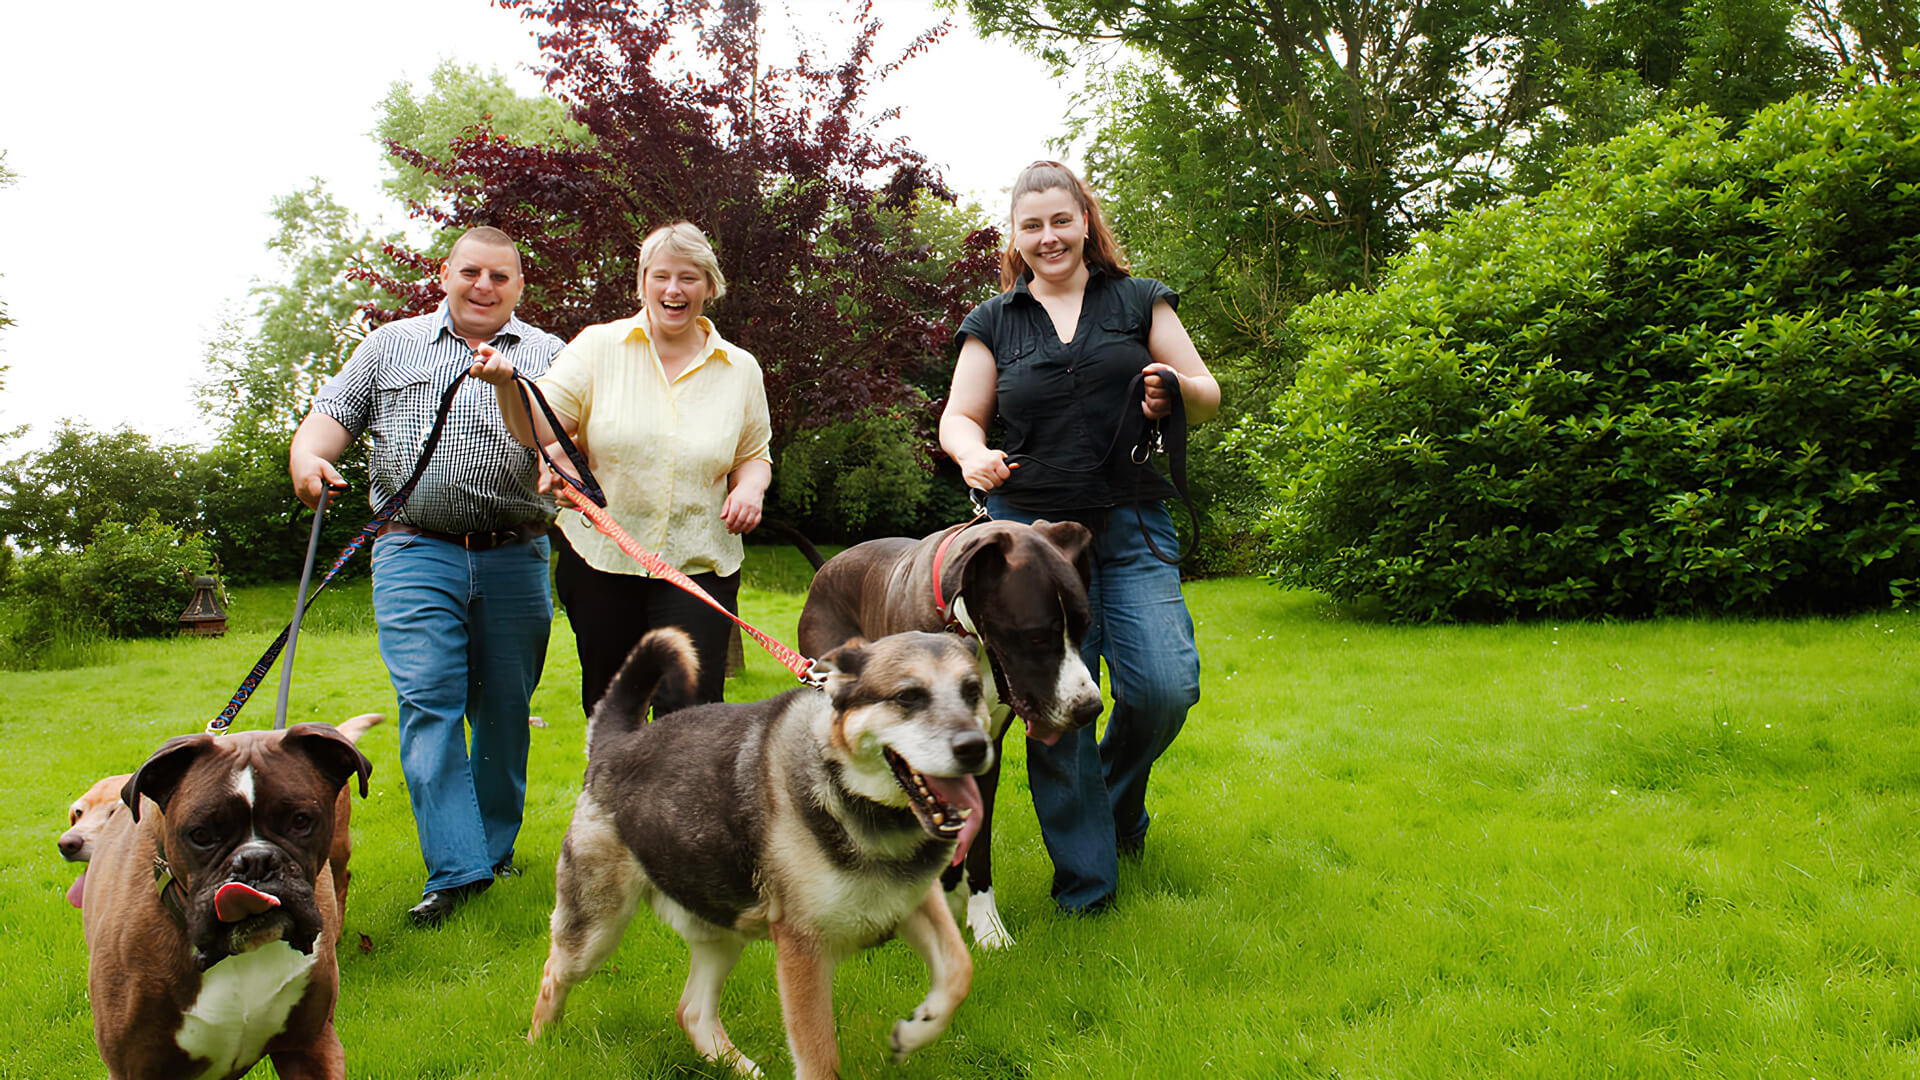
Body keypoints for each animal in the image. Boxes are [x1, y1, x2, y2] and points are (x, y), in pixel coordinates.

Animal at [537, 626, 998, 1076]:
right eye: (907, 697)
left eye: (972, 691)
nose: (975, 747)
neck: (854, 800)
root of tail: (612, 745)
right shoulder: (802, 948)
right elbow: (819, 1061)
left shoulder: (914, 902)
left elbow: (961, 970)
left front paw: (918, 1029)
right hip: (594, 930)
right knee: (552, 974)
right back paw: (540, 1045)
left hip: (721, 927)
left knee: (692, 1012)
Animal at [794, 518, 1105, 945]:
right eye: (1037, 636)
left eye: (1085, 627)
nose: (1089, 707)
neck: (963, 630)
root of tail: (828, 565)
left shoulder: (982, 750)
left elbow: (976, 841)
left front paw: (986, 925)